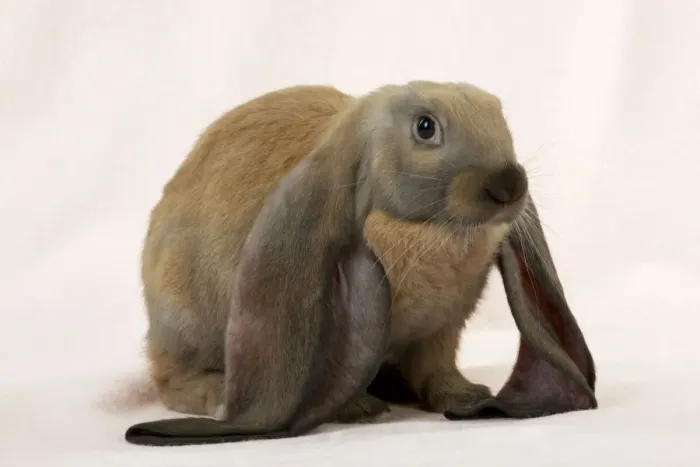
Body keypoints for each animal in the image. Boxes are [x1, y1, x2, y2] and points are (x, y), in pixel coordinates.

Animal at [125, 81, 597, 446]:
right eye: (425, 127)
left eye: (500, 116)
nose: (509, 184)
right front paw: (361, 409)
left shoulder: (441, 331)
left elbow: (437, 369)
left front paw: (466, 396)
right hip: (185, 322)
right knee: (170, 377)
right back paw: (219, 392)